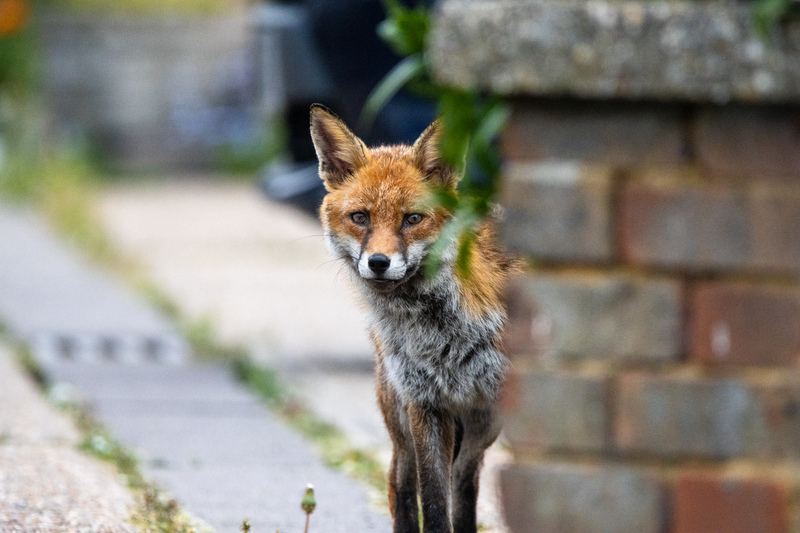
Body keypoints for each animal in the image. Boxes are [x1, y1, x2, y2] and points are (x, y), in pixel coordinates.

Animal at [309, 104, 518, 533]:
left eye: (412, 219)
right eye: (360, 217)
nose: (378, 262)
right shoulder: (425, 403)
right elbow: (433, 505)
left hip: (482, 425)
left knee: (465, 482)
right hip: (401, 415)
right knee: (401, 483)